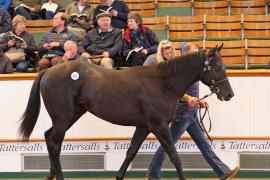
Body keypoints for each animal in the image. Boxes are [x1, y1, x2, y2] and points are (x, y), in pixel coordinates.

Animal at [19, 44, 234, 180]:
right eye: (217, 67)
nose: (229, 94)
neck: (162, 84)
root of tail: (48, 71)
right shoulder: (160, 126)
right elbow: (174, 156)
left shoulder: (144, 126)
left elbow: (131, 152)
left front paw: (119, 176)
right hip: (63, 117)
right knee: (55, 143)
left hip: (71, 115)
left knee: (49, 138)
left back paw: (50, 175)